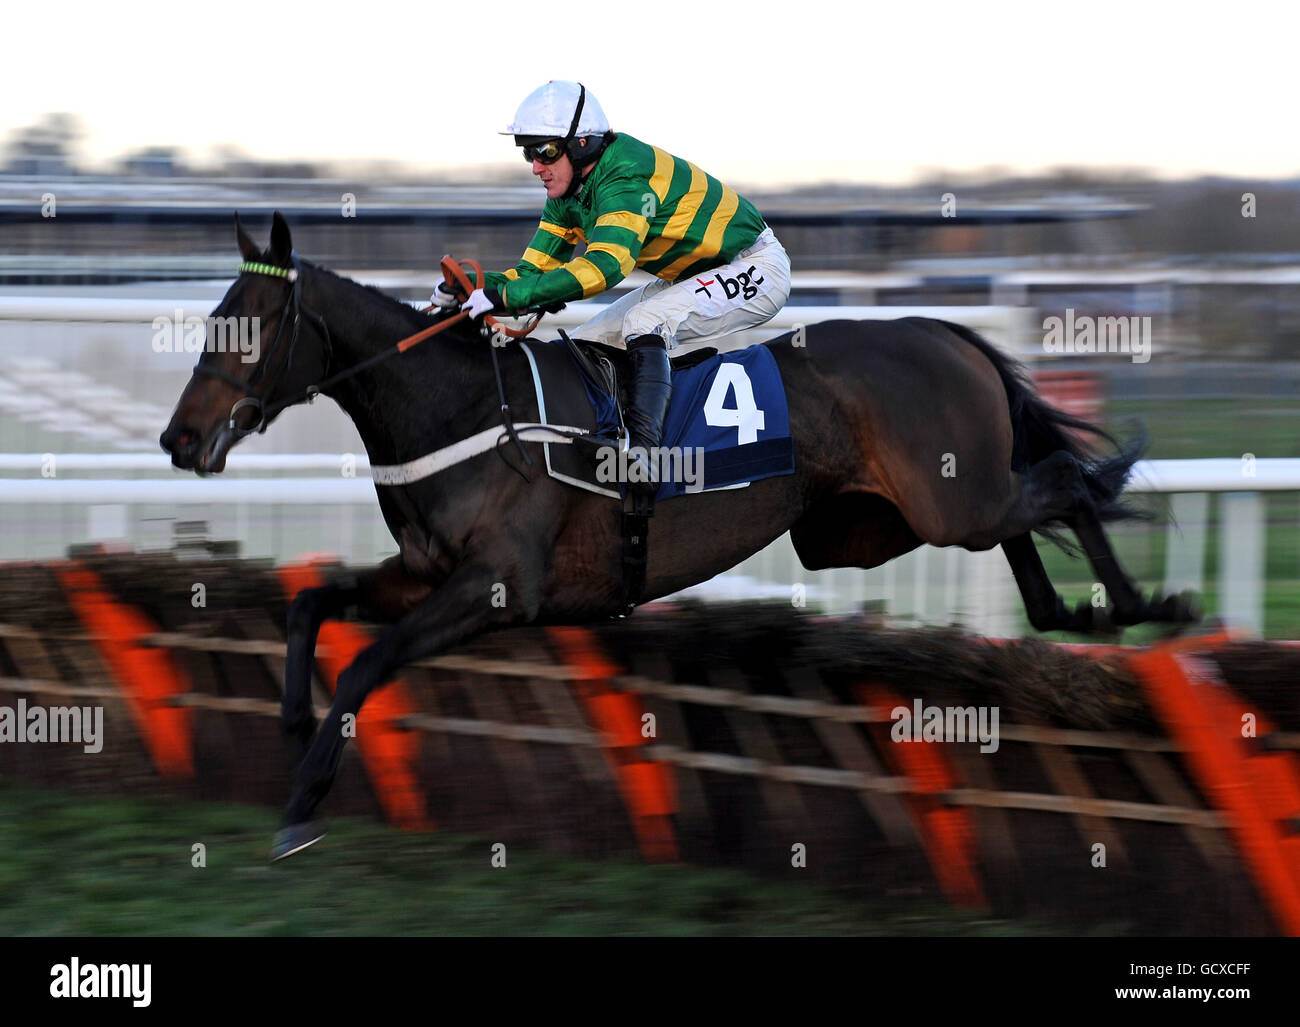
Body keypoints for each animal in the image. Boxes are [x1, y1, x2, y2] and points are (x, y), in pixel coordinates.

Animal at [159, 210, 1196, 863]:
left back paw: (1144, 601)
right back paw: (1070, 613)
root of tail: (944, 329)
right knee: (1026, 514)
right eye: (215, 318)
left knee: (1064, 484)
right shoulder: (424, 574)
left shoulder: (495, 589)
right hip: (871, 525)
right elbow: (309, 602)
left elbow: (370, 664)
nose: (179, 439)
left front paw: (303, 800)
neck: (464, 407)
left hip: (943, 501)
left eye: (253, 326)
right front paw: (293, 723)